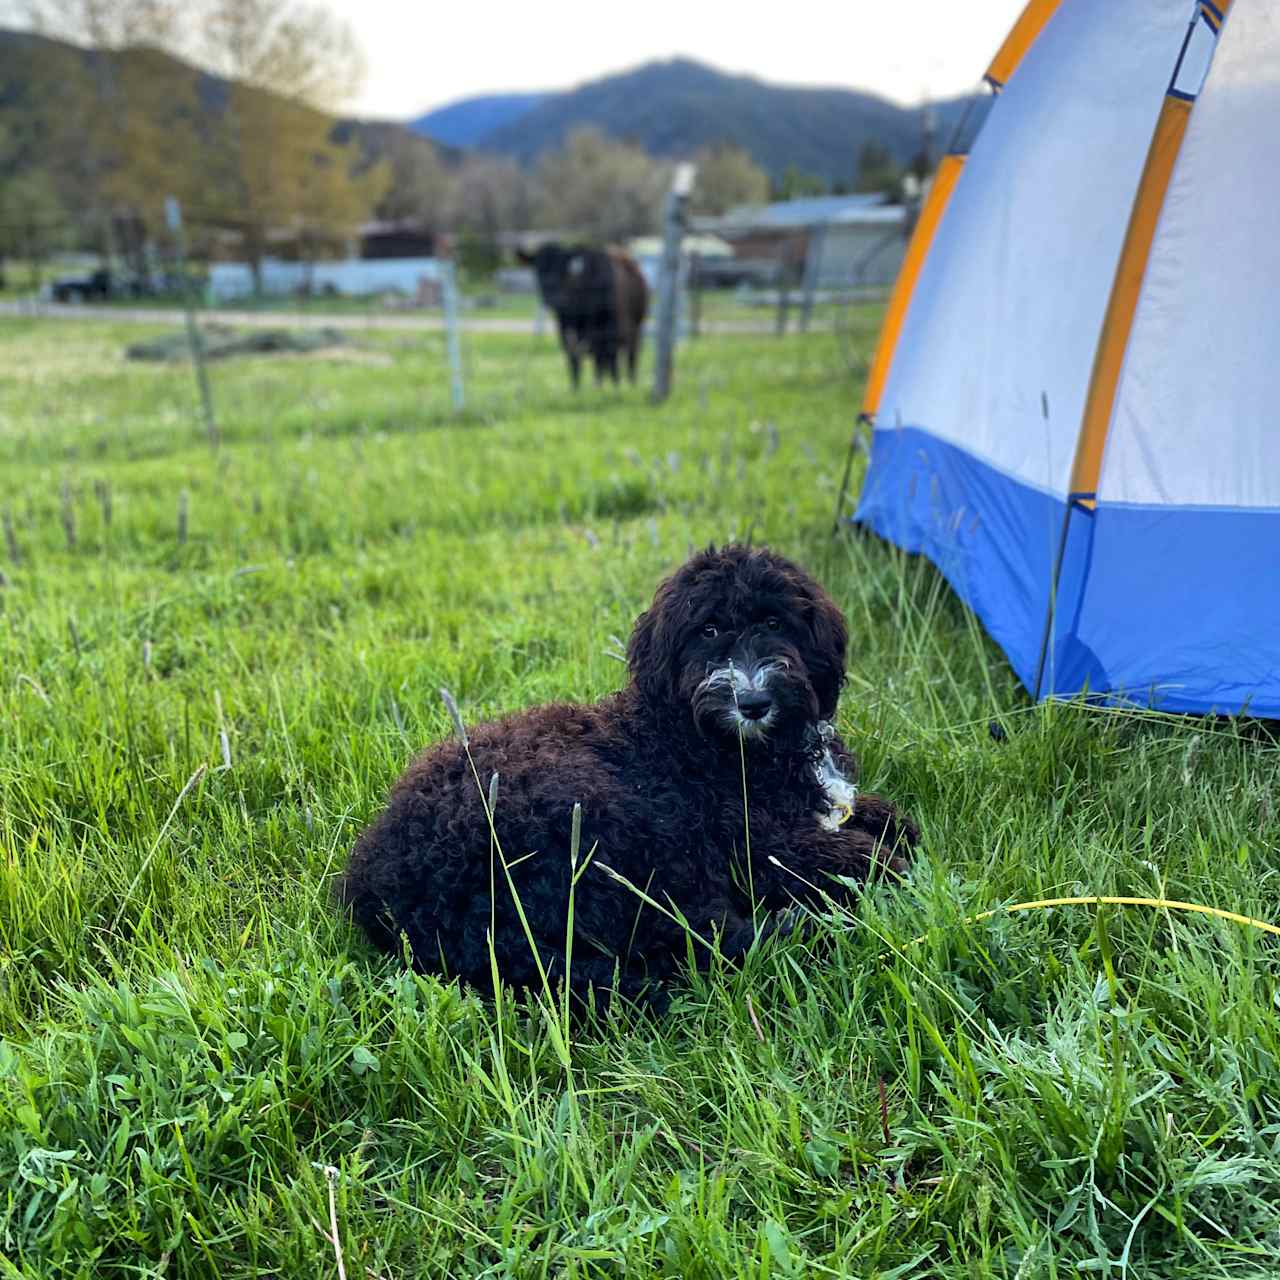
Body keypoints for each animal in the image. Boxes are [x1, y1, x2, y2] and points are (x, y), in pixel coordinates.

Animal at [337, 545, 921, 1003]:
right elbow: (852, 855)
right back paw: (799, 927)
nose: (752, 701)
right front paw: (882, 865)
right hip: (609, 826)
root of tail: (390, 893)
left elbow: (875, 815)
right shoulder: (756, 842)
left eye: (775, 623)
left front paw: (886, 822)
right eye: (708, 630)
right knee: (695, 933)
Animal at [514, 241, 645, 386]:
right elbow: (574, 361)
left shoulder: (609, 331)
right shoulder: (566, 330)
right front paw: (576, 388)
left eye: (563, 268)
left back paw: (629, 382)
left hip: (635, 328)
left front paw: (612, 386)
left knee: (628, 357)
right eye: (538, 267)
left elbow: (608, 361)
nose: (552, 297)